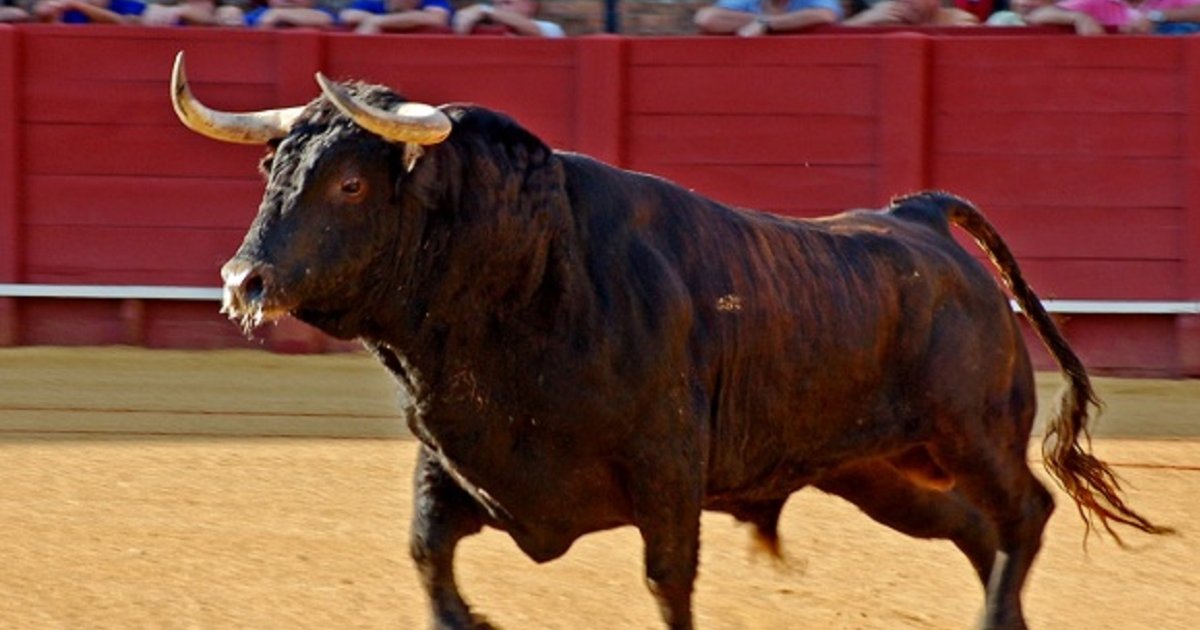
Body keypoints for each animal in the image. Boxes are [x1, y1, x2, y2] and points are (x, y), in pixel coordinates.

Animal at [170, 52, 1169, 630]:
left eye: (348, 184)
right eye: (271, 169)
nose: (241, 281)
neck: (528, 268)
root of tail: (916, 216)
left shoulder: (666, 472)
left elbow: (667, 583)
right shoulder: (450, 456)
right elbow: (427, 559)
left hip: (972, 435)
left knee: (1024, 516)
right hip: (879, 473)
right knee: (975, 531)